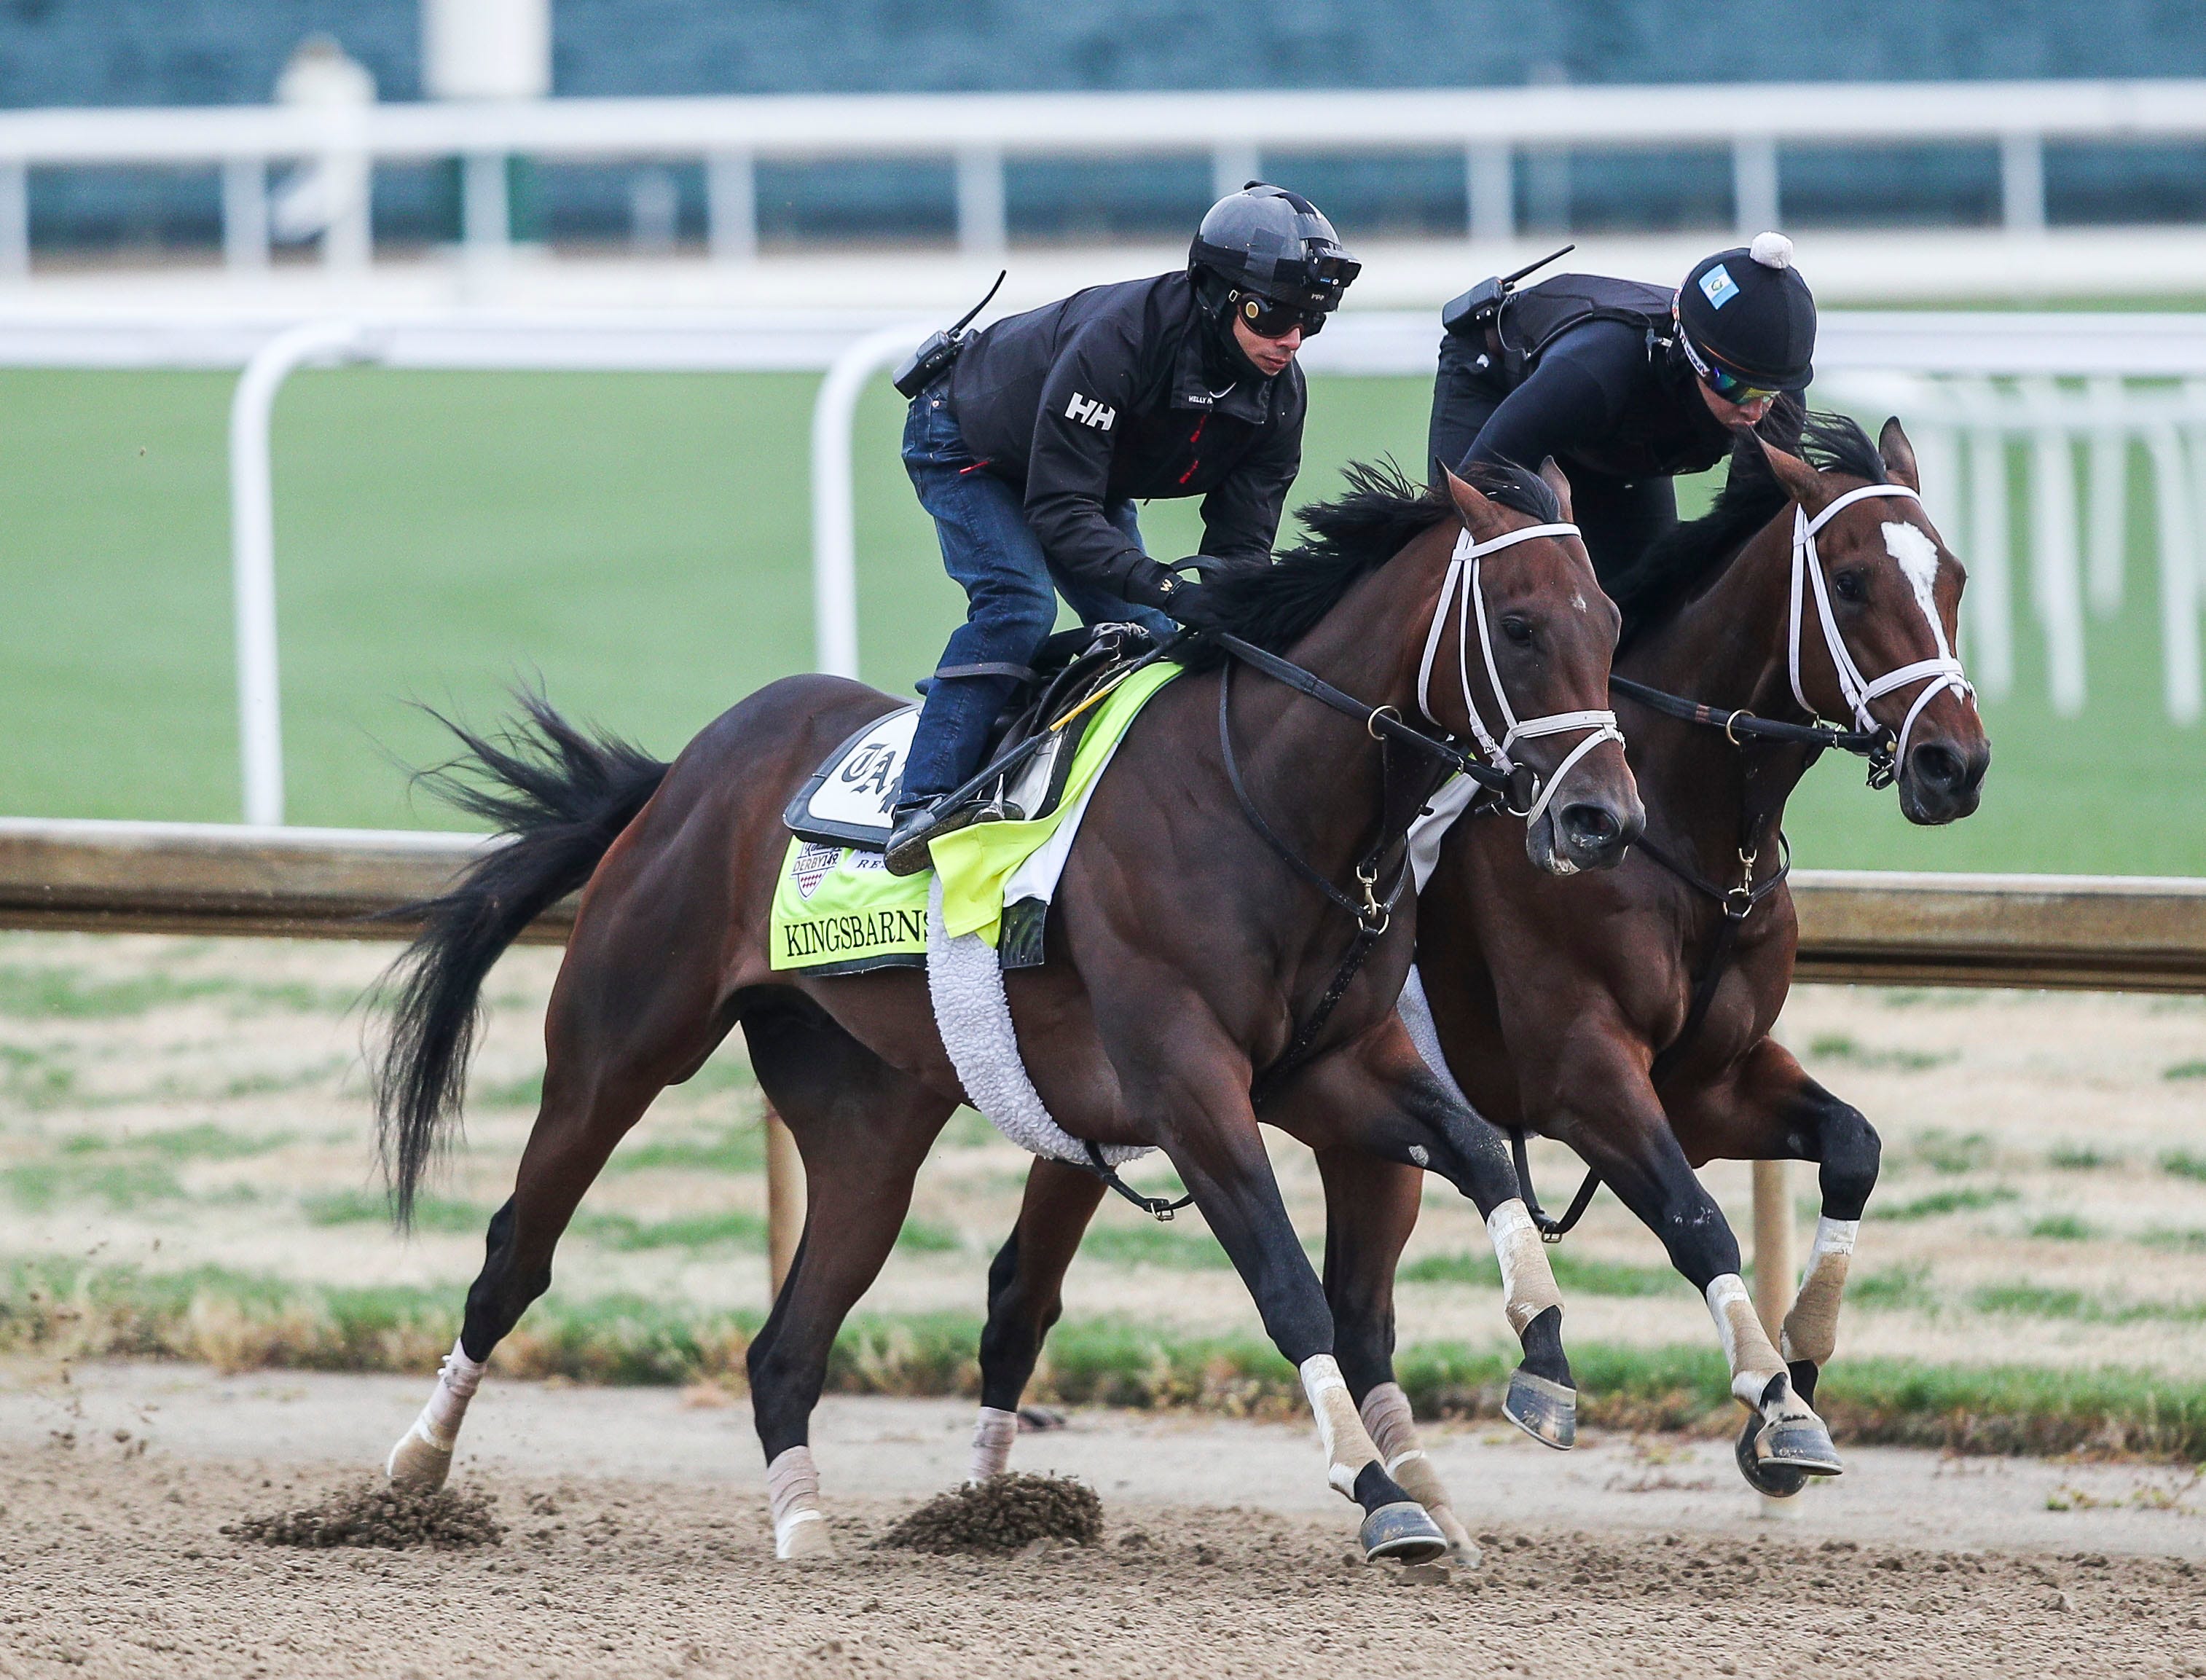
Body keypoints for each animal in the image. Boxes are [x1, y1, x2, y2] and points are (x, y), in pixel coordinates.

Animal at [366, 454, 1641, 1561]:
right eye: (1521, 626)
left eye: (1613, 623)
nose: (1604, 820)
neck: (1268, 799)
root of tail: (684, 768)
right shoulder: (1188, 1085)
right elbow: (1290, 1287)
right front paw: (1381, 1491)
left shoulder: (1327, 1067)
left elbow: (1479, 1148)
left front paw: (1544, 1362)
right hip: (617, 1046)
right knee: (515, 1254)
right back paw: (413, 1471)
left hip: (869, 1122)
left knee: (786, 1344)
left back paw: (804, 1525)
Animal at [975, 409, 1994, 1517]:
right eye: (1850, 582)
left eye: (1954, 577)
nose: (1956, 762)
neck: (1685, 831)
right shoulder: (1581, 1073)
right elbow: (1696, 1218)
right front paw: (1770, 1397)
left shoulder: (1709, 1081)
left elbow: (1854, 1146)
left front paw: (1796, 1370)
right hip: (1123, 1091)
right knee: (1024, 1285)